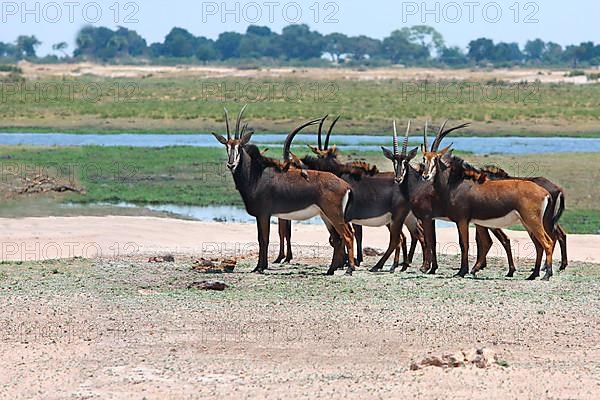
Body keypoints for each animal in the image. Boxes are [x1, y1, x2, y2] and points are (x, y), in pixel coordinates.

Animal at [212, 106, 356, 276]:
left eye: (240, 146)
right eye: (227, 146)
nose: (231, 164)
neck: (256, 175)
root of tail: (345, 185)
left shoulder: (264, 214)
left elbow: (264, 239)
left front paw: (260, 267)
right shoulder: (262, 216)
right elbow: (262, 238)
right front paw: (259, 266)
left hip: (334, 215)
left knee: (347, 235)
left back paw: (349, 269)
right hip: (326, 215)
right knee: (338, 238)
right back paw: (331, 270)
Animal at [390, 122, 556, 282]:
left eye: (436, 158)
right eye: (424, 158)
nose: (425, 176)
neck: (455, 183)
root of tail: (545, 192)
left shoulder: (461, 220)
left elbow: (464, 244)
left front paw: (461, 272)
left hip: (532, 221)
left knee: (547, 242)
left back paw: (546, 274)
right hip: (527, 223)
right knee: (538, 245)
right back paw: (533, 275)